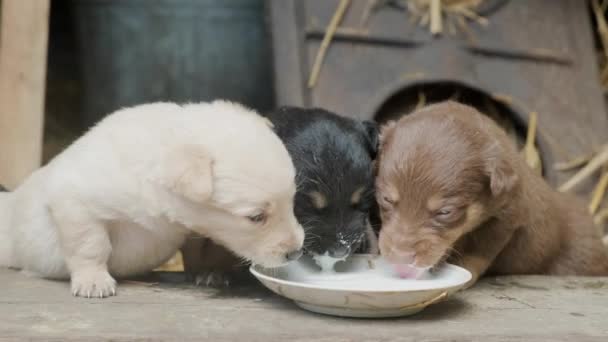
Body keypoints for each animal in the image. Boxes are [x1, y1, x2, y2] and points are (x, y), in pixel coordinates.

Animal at [0, 100, 304, 298]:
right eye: (256, 217)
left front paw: (208, 271)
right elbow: (91, 245)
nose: (296, 251)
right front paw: (93, 280)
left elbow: (197, 248)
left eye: (293, 201)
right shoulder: (75, 202)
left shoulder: (190, 225)